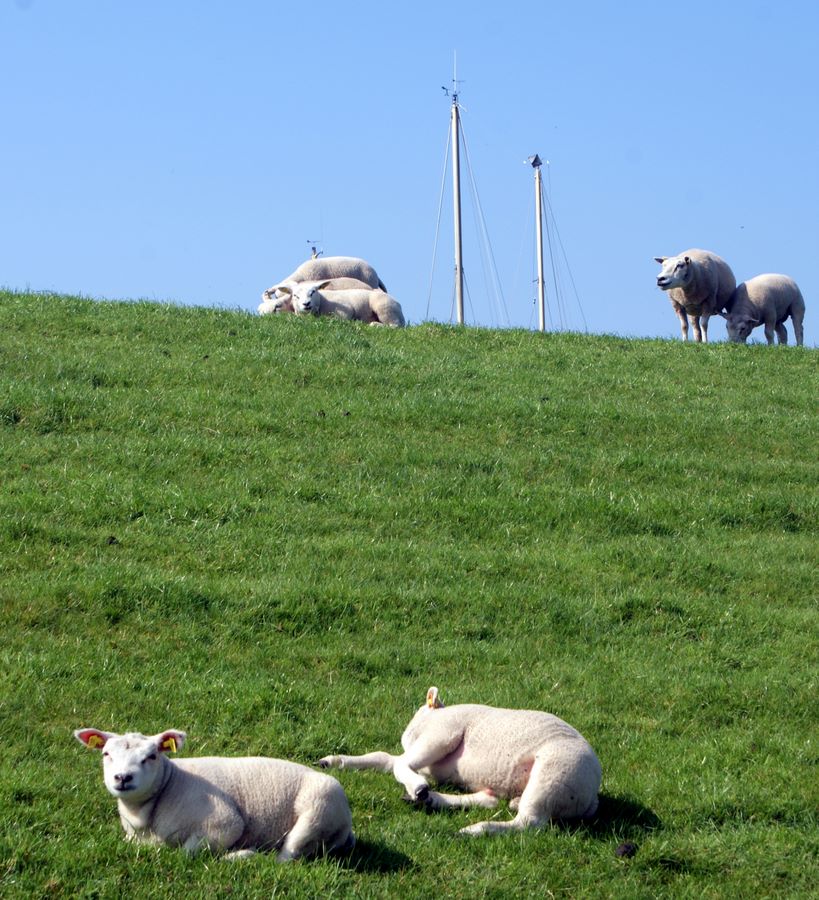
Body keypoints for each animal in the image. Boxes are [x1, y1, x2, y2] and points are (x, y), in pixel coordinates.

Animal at [76, 728, 356, 860]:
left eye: (152, 756)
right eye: (106, 754)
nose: (123, 778)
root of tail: (346, 825)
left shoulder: (225, 824)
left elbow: (187, 852)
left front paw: (238, 853)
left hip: (318, 811)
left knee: (287, 856)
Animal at [318, 688, 604, 836]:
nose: (405, 736)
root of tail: (591, 798)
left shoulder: (442, 732)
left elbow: (399, 765)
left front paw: (418, 787)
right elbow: (386, 759)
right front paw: (333, 761)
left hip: (555, 773)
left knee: (528, 822)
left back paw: (473, 829)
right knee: (491, 800)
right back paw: (434, 801)